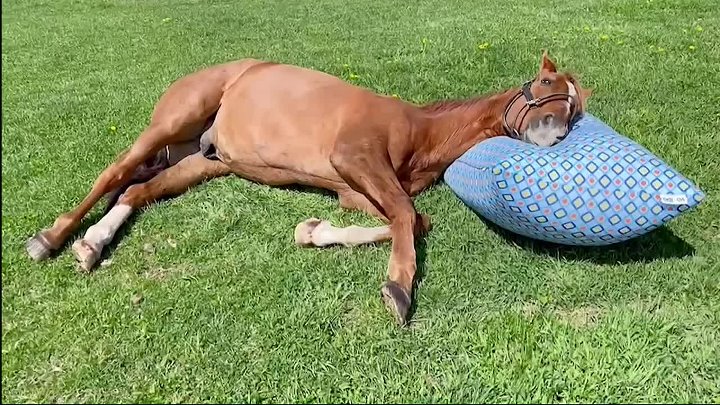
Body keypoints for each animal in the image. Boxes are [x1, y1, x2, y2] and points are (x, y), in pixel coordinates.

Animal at [26, 51, 592, 326]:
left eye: (575, 107)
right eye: (545, 85)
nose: (554, 136)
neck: (418, 131)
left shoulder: (355, 189)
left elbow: (410, 218)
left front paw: (314, 231)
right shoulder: (356, 159)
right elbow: (408, 217)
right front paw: (398, 289)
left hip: (203, 163)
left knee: (137, 191)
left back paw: (93, 243)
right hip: (171, 123)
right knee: (114, 173)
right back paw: (52, 238)